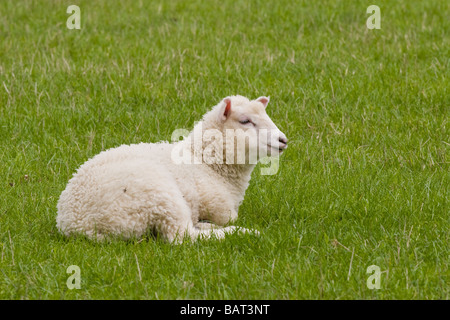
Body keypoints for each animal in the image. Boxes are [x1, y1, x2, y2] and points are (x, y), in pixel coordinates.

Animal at [56, 95, 288, 242]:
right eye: (245, 120)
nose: (283, 140)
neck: (207, 163)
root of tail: (78, 225)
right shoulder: (219, 207)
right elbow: (226, 218)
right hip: (160, 196)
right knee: (182, 236)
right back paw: (242, 233)